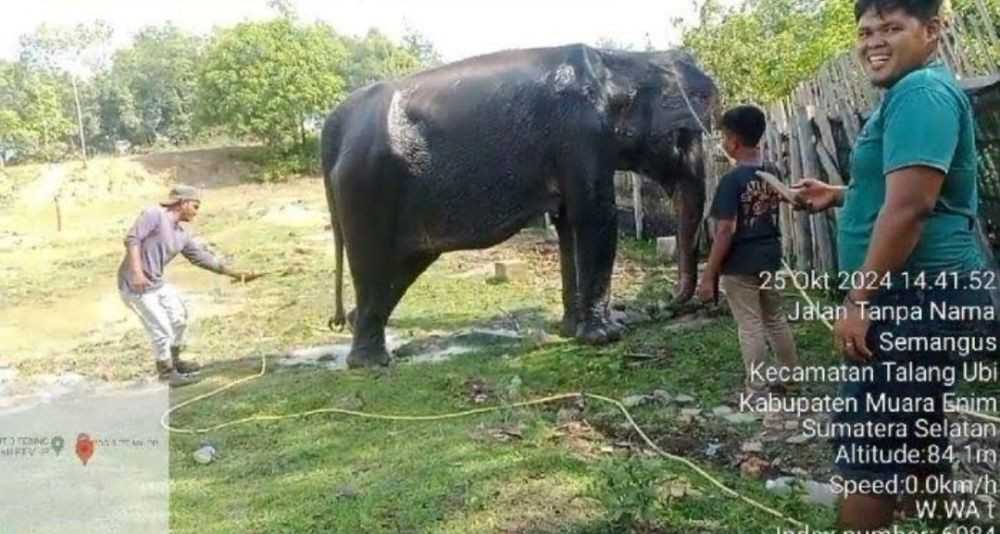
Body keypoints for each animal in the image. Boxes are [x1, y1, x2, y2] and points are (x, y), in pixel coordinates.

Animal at [322, 44, 720, 370]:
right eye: (684, 136)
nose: (665, 304)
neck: (620, 61)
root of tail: (335, 122)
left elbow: (568, 224)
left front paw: (571, 331)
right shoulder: (582, 135)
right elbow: (595, 218)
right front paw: (606, 336)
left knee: (396, 272)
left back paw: (360, 334)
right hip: (367, 188)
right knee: (376, 266)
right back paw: (370, 364)